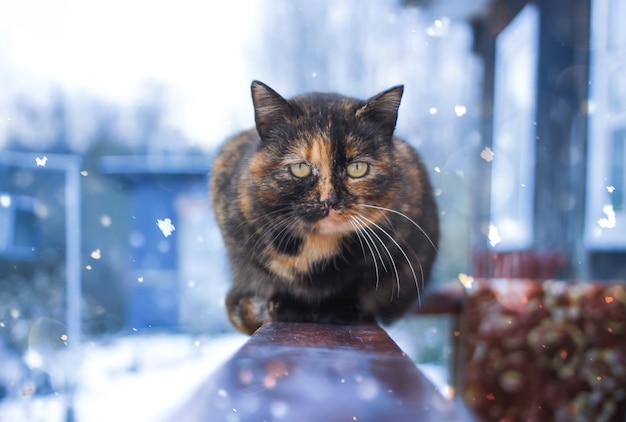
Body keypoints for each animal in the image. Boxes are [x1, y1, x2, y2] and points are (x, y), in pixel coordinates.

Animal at [212, 81, 436, 334]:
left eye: (357, 168)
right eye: (300, 168)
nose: (329, 200)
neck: (317, 245)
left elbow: (359, 280)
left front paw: (338, 308)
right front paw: (288, 306)